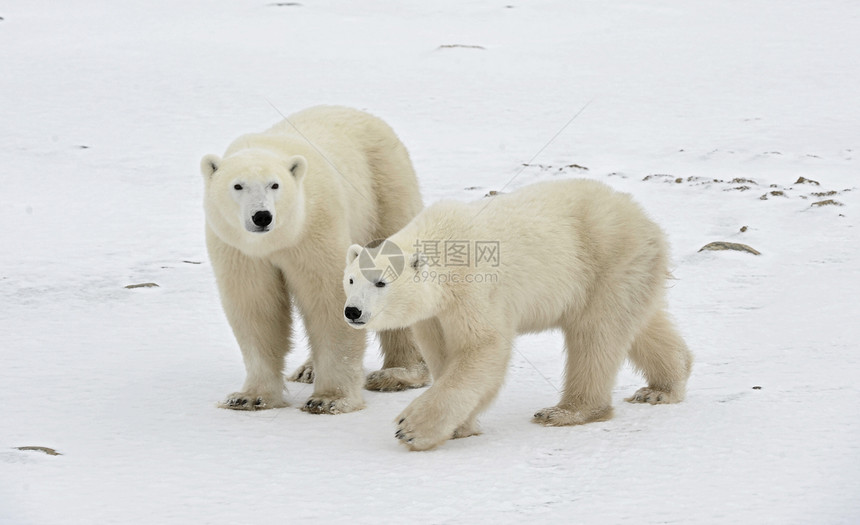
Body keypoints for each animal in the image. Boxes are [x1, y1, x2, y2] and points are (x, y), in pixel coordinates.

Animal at [202, 104, 430, 412]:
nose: (262, 216)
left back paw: (398, 373)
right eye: (238, 186)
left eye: (275, 185)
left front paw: (329, 399)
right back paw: (307, 370)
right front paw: (248, 397)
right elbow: (256, 307)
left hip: (384, 190)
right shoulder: (239, 250)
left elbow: (329, 300)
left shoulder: (314, 228)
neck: (276, 241)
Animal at [342, 178, 692, 448]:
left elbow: (483, 347)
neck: (441, 240)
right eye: (350, 279)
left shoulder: (473, 288)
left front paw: (411, 428)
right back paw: (662, 387)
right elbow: (443, 353)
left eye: (381, 281)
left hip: (607, 260)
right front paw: (460, 427)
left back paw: (565, 411)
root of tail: (646, 219)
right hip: (628, 272)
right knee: (638, 325)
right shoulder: (434, 313)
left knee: (596, 335)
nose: (352, 310)